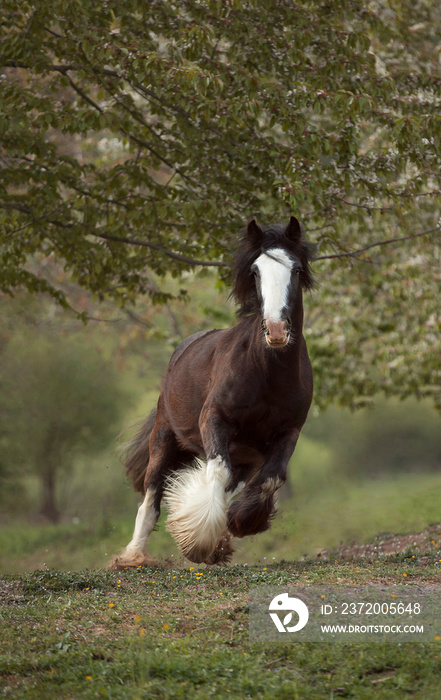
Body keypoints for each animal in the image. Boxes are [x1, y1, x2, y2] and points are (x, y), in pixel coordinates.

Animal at [111, 217, 314, 568]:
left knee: (231, 483)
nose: (276, 330)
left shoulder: (289, 432)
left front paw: (240, 522)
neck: (268, 373)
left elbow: (272, 478)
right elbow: (217, 471)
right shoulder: (215, 419)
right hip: (164, 437)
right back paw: (134, 554)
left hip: (246, 456)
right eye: (256, 271)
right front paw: (197, 541)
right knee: (151, 495)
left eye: (297, 269)